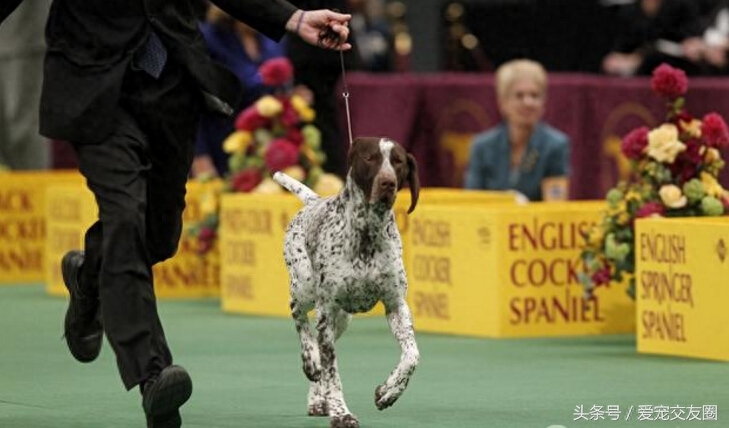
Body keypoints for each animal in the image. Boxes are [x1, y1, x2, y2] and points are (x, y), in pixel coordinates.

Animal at [272, 137, 420, 428]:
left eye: (398, 161)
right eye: (370, 158)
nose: (387, 183)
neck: (367, 234)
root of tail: (314, 201)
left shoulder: (395, 305)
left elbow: (411, 356)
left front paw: (388, 392)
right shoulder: (326, 311)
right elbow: (332, 374)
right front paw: (341, 413)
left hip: (341, 319)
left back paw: (317, 400)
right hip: (307, 290)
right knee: (299, 318)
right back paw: (310, 359)